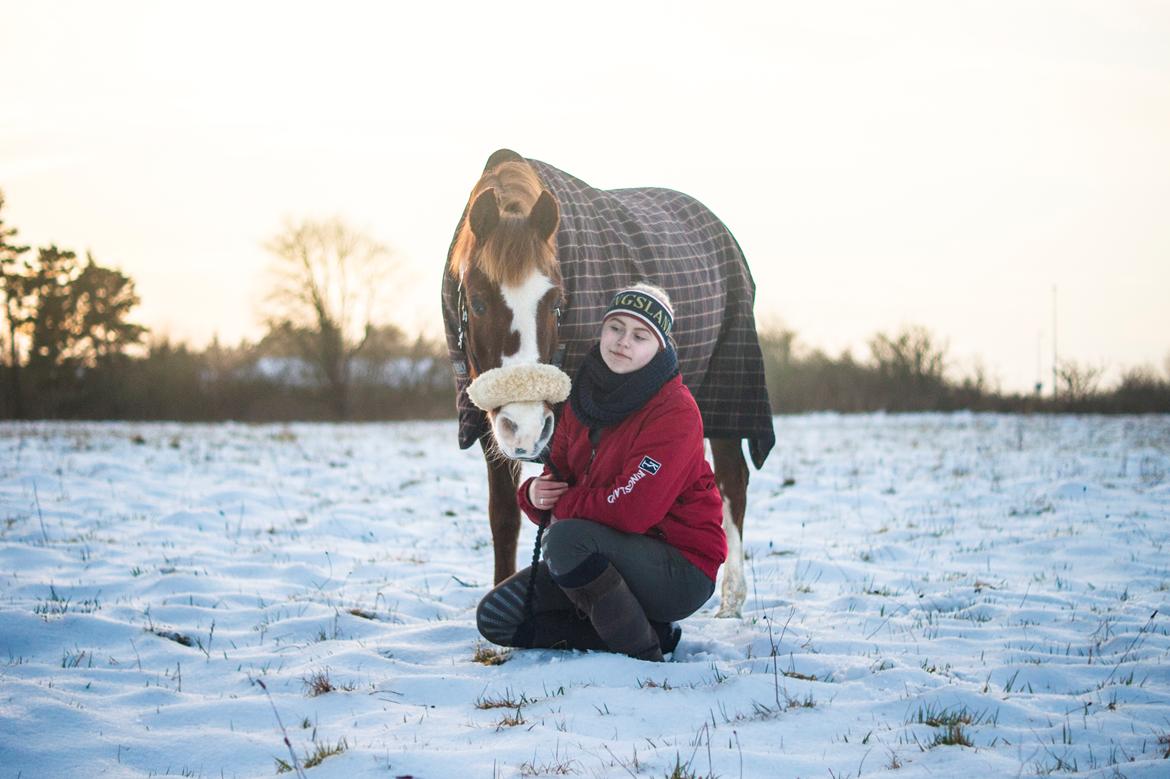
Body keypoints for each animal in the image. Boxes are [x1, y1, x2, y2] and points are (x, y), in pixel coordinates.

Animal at [442, 148, 772, 617]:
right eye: (477, 301)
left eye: (556, 302)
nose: (526, 428)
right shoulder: (488, 424)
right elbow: (504, 517)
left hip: (727, 388)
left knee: (731, 481)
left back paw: (731, 602)